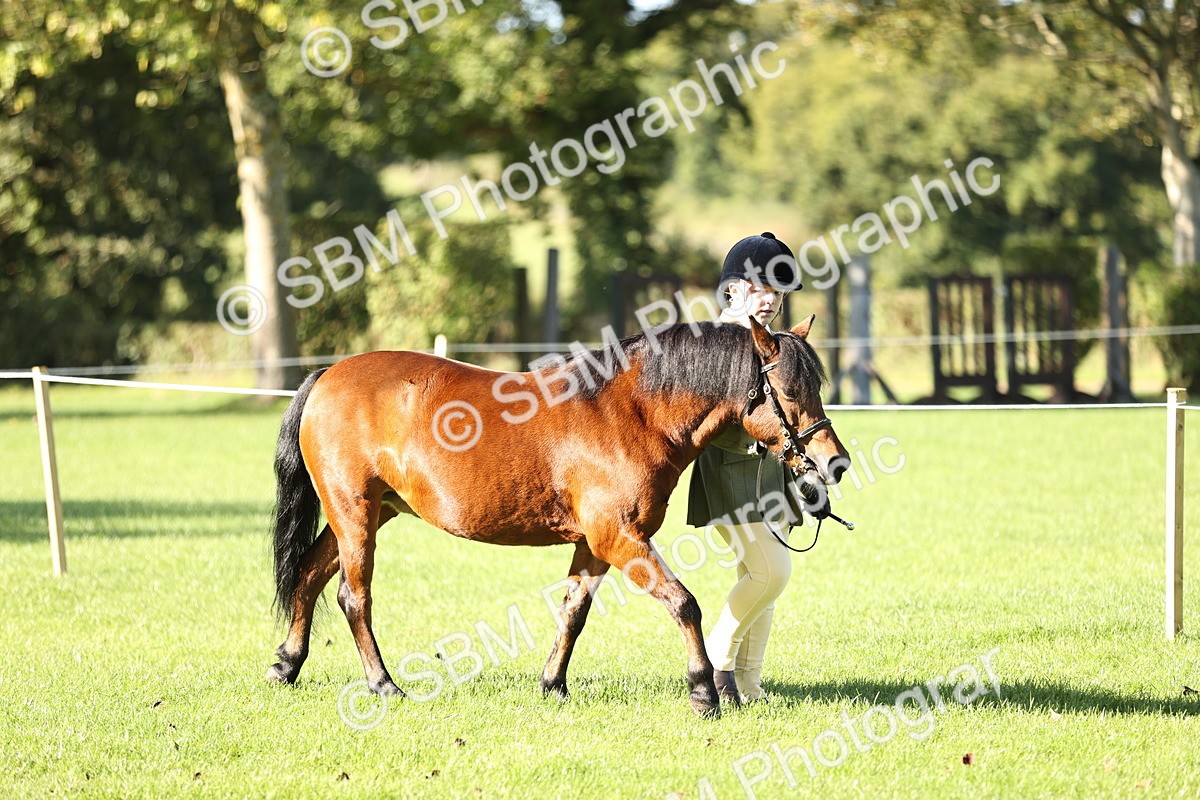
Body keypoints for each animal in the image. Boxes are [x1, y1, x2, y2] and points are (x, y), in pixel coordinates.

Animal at [266, 314, 850, 716]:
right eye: (790, 390)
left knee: (310, 574)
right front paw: (703, 690)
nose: (835, 462)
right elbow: (684, 603)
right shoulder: (620, 538)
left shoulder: (594, 544)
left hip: (368, 512)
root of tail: (328, 374)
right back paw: (382, 683)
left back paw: (287, 664)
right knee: (352, 596)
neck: (630, 412)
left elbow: (574, 611)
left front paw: (553, 683)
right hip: (355, 512)